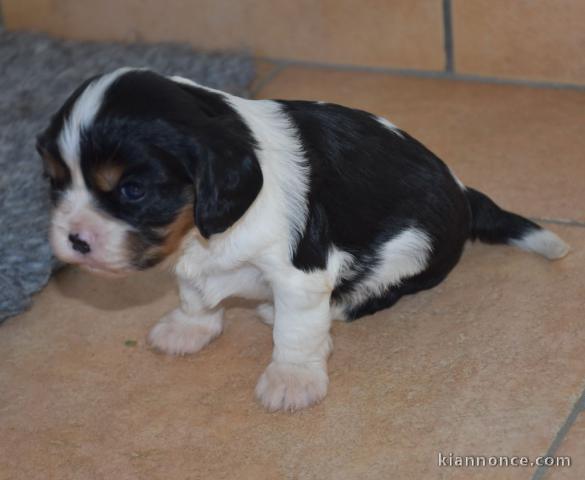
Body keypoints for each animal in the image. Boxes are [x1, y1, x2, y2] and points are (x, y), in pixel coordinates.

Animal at [35, 69, 564, 410]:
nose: (74, 239)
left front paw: (292, 380)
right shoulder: (191, 258)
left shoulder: (301, 273)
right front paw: (189, 328)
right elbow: (193, 293)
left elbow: (297, 331)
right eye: (54, 181)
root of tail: (463, 192)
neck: (210, 234)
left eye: (133, 190)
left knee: (373, 292)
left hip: (412, 246)